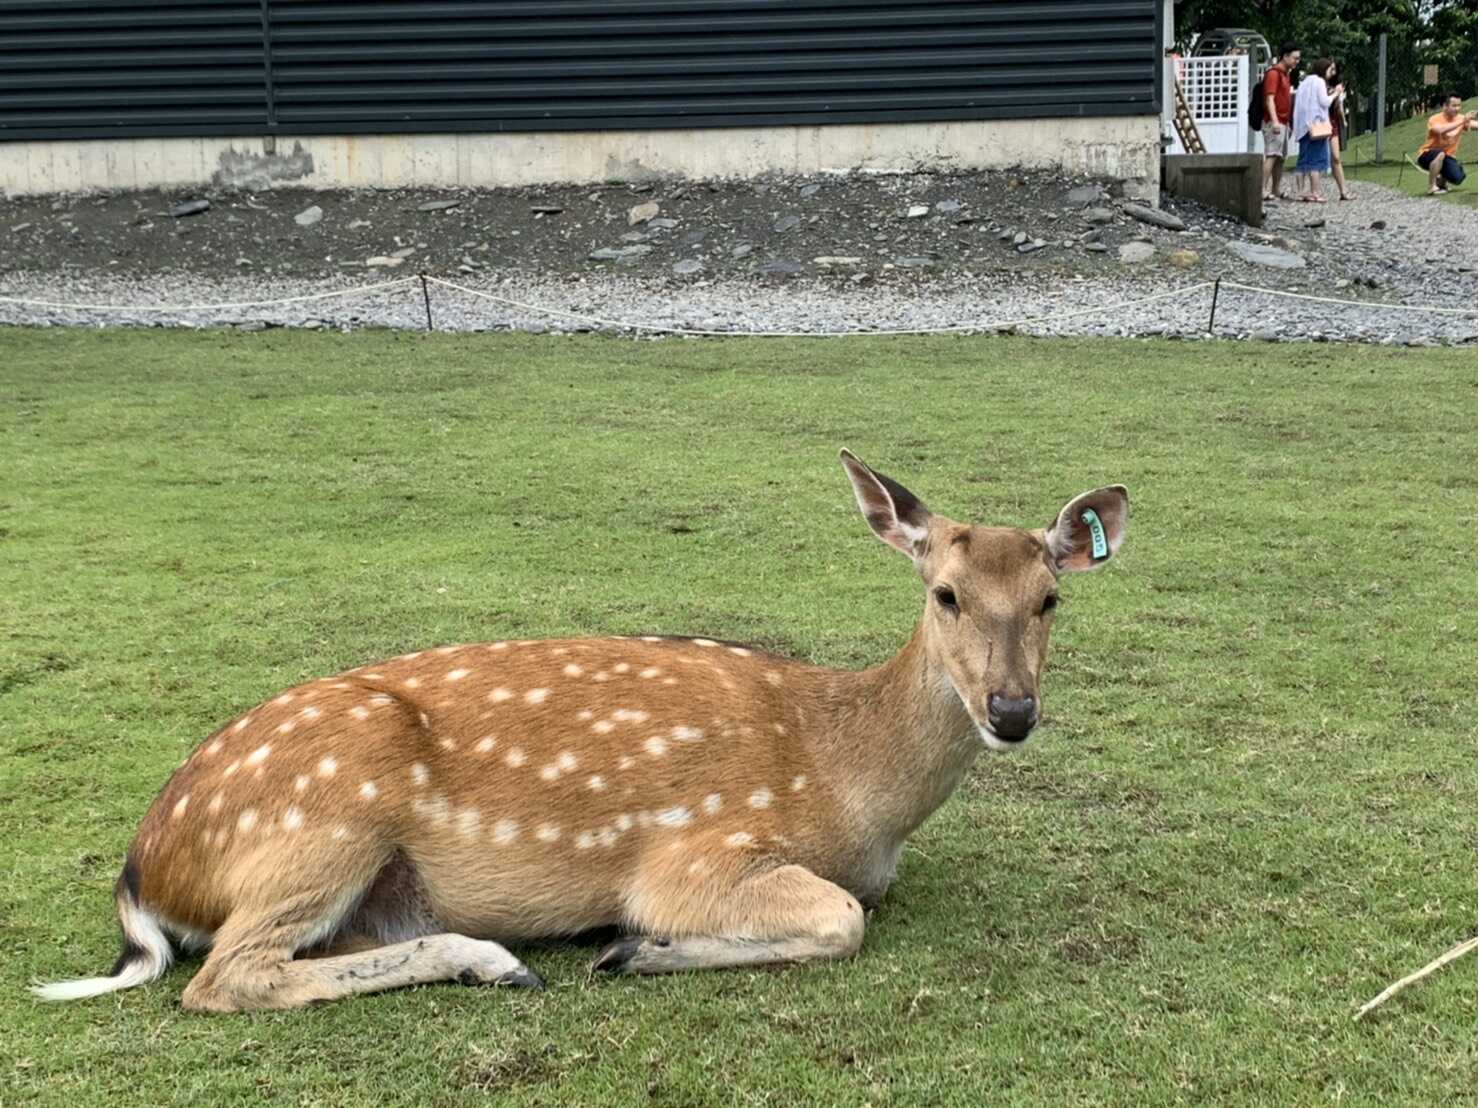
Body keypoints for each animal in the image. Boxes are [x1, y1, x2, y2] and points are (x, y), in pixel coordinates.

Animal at [37, 452, 1129, 1016]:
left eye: (1050, 599)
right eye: (943, 593)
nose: (1011, 712)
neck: (858, 794)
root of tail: (142, 871)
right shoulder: (700, 847)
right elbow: (840, 919)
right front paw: (634, 946)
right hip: (322, 817)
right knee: (222, 977)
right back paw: (501, 959)